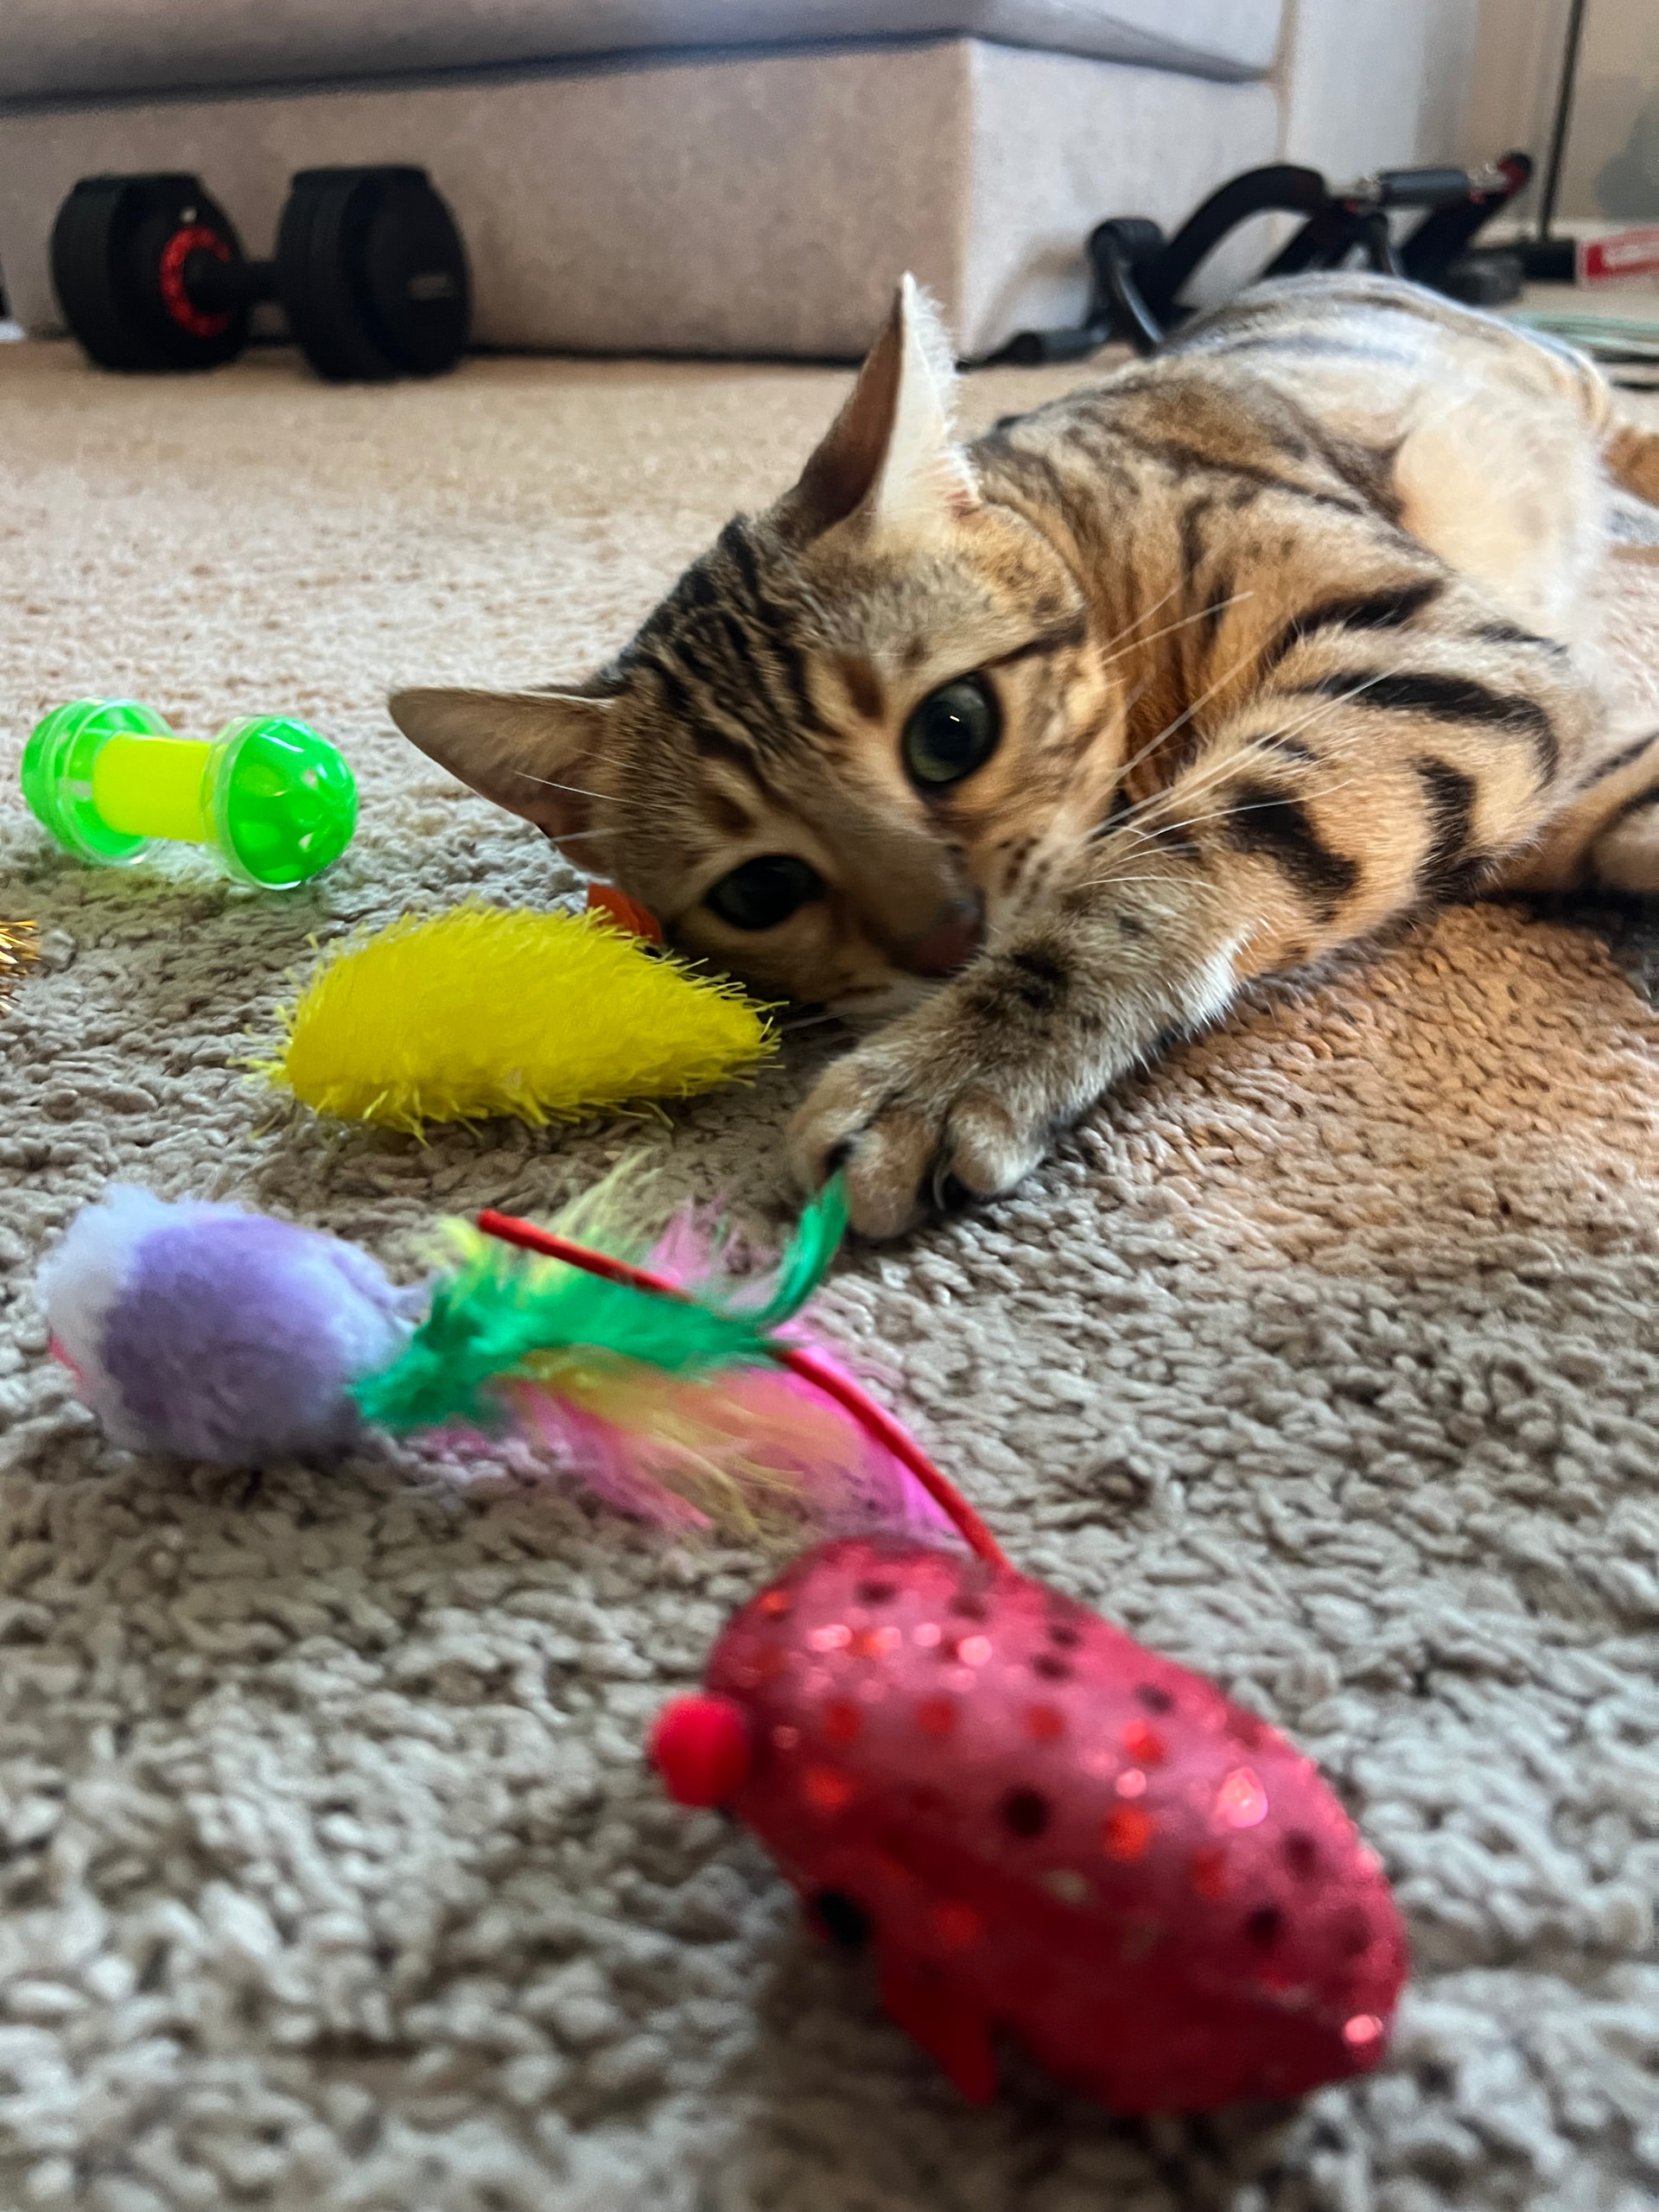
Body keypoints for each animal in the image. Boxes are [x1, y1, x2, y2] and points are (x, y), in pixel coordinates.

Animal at [391, 271, 1659, 1239]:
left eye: (951, 729)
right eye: (760, 891)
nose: (944, 940)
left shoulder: (1438, 656)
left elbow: (1152, 873)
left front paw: (946, 1068)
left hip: (1563, 383)